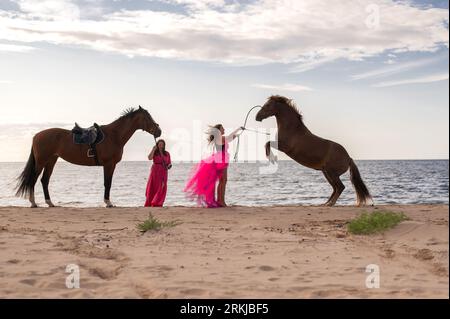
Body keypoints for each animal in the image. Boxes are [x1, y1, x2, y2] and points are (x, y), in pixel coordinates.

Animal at [15, 106, 162, 209]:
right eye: (147, 117)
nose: (159, 131)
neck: (114, 135)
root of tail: (36, 136)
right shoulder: (109, 164)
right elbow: (107, 183)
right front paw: (108, 203)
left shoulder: (111, 165)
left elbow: (108, 183)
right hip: (41, 162)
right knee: (33, 180)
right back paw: (33, 203)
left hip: (51, 160)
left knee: (44, 180)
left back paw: (50, 203)